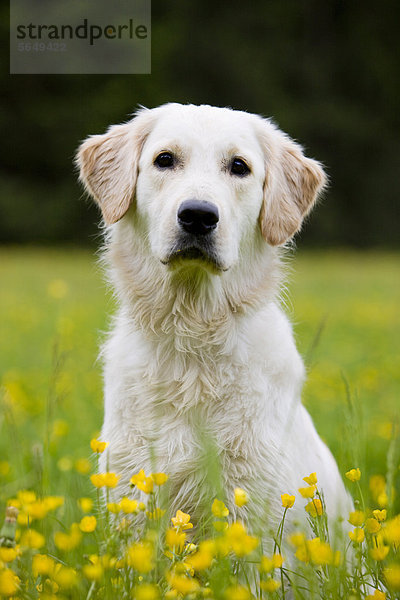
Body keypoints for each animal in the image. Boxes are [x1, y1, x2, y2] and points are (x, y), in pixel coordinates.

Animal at [76, 103, 352, 536]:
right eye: (164, 159)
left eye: (239, 166)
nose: (198, 216)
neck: (192, 335)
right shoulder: (130, 497)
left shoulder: (256, 513)